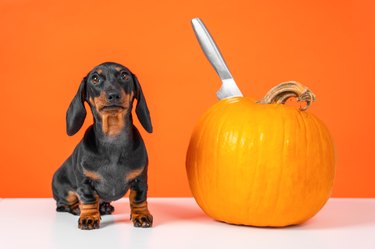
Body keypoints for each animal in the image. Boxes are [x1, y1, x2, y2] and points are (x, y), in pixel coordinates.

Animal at [52, 61, 153, 230]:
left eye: (124, 75)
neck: (113, 137)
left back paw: (104, 207)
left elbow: (139, 199)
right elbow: (89, 199)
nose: (113, 95)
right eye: (95, 78)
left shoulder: (140, 179)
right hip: (64, 190)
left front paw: (141, 215)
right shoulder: (85, 182)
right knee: (62, 205)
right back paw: (77, 208)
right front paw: (88, 217)